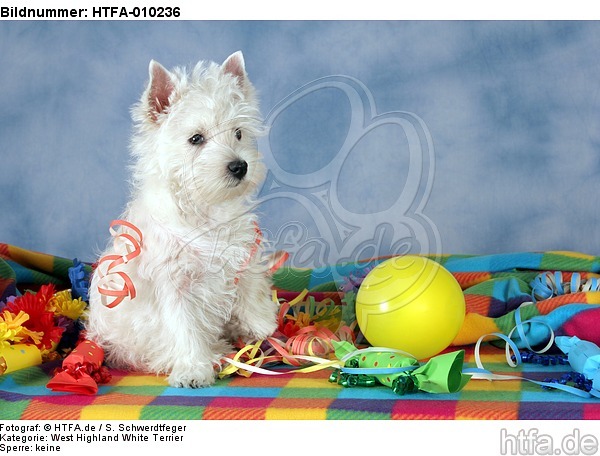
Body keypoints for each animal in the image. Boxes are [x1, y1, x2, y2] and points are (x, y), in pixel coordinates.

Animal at [85, 52, 282, 388]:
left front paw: (261, 321)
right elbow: (186, 330)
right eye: (196, 138)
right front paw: (193, 370)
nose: (239, 166)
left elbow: (250, 282)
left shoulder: (242, 247)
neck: (203, 207)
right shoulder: (175, 285)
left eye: (238, 133)